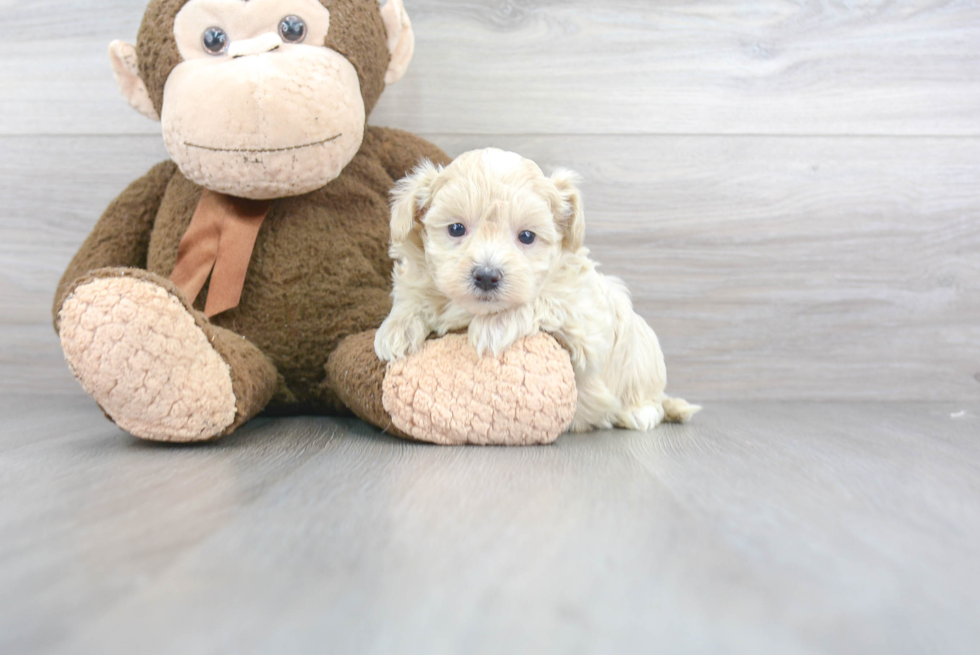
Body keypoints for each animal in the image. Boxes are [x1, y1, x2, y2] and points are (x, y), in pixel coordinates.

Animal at [372, 151, 700, 434]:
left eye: (527, 236)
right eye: (456, 229)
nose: (487, 276)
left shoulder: (585, 317)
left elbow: (543, 300)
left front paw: (493, 326)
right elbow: (413, 296)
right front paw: (396, 329)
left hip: (643, 361)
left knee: (652, 400)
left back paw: (639, 412)